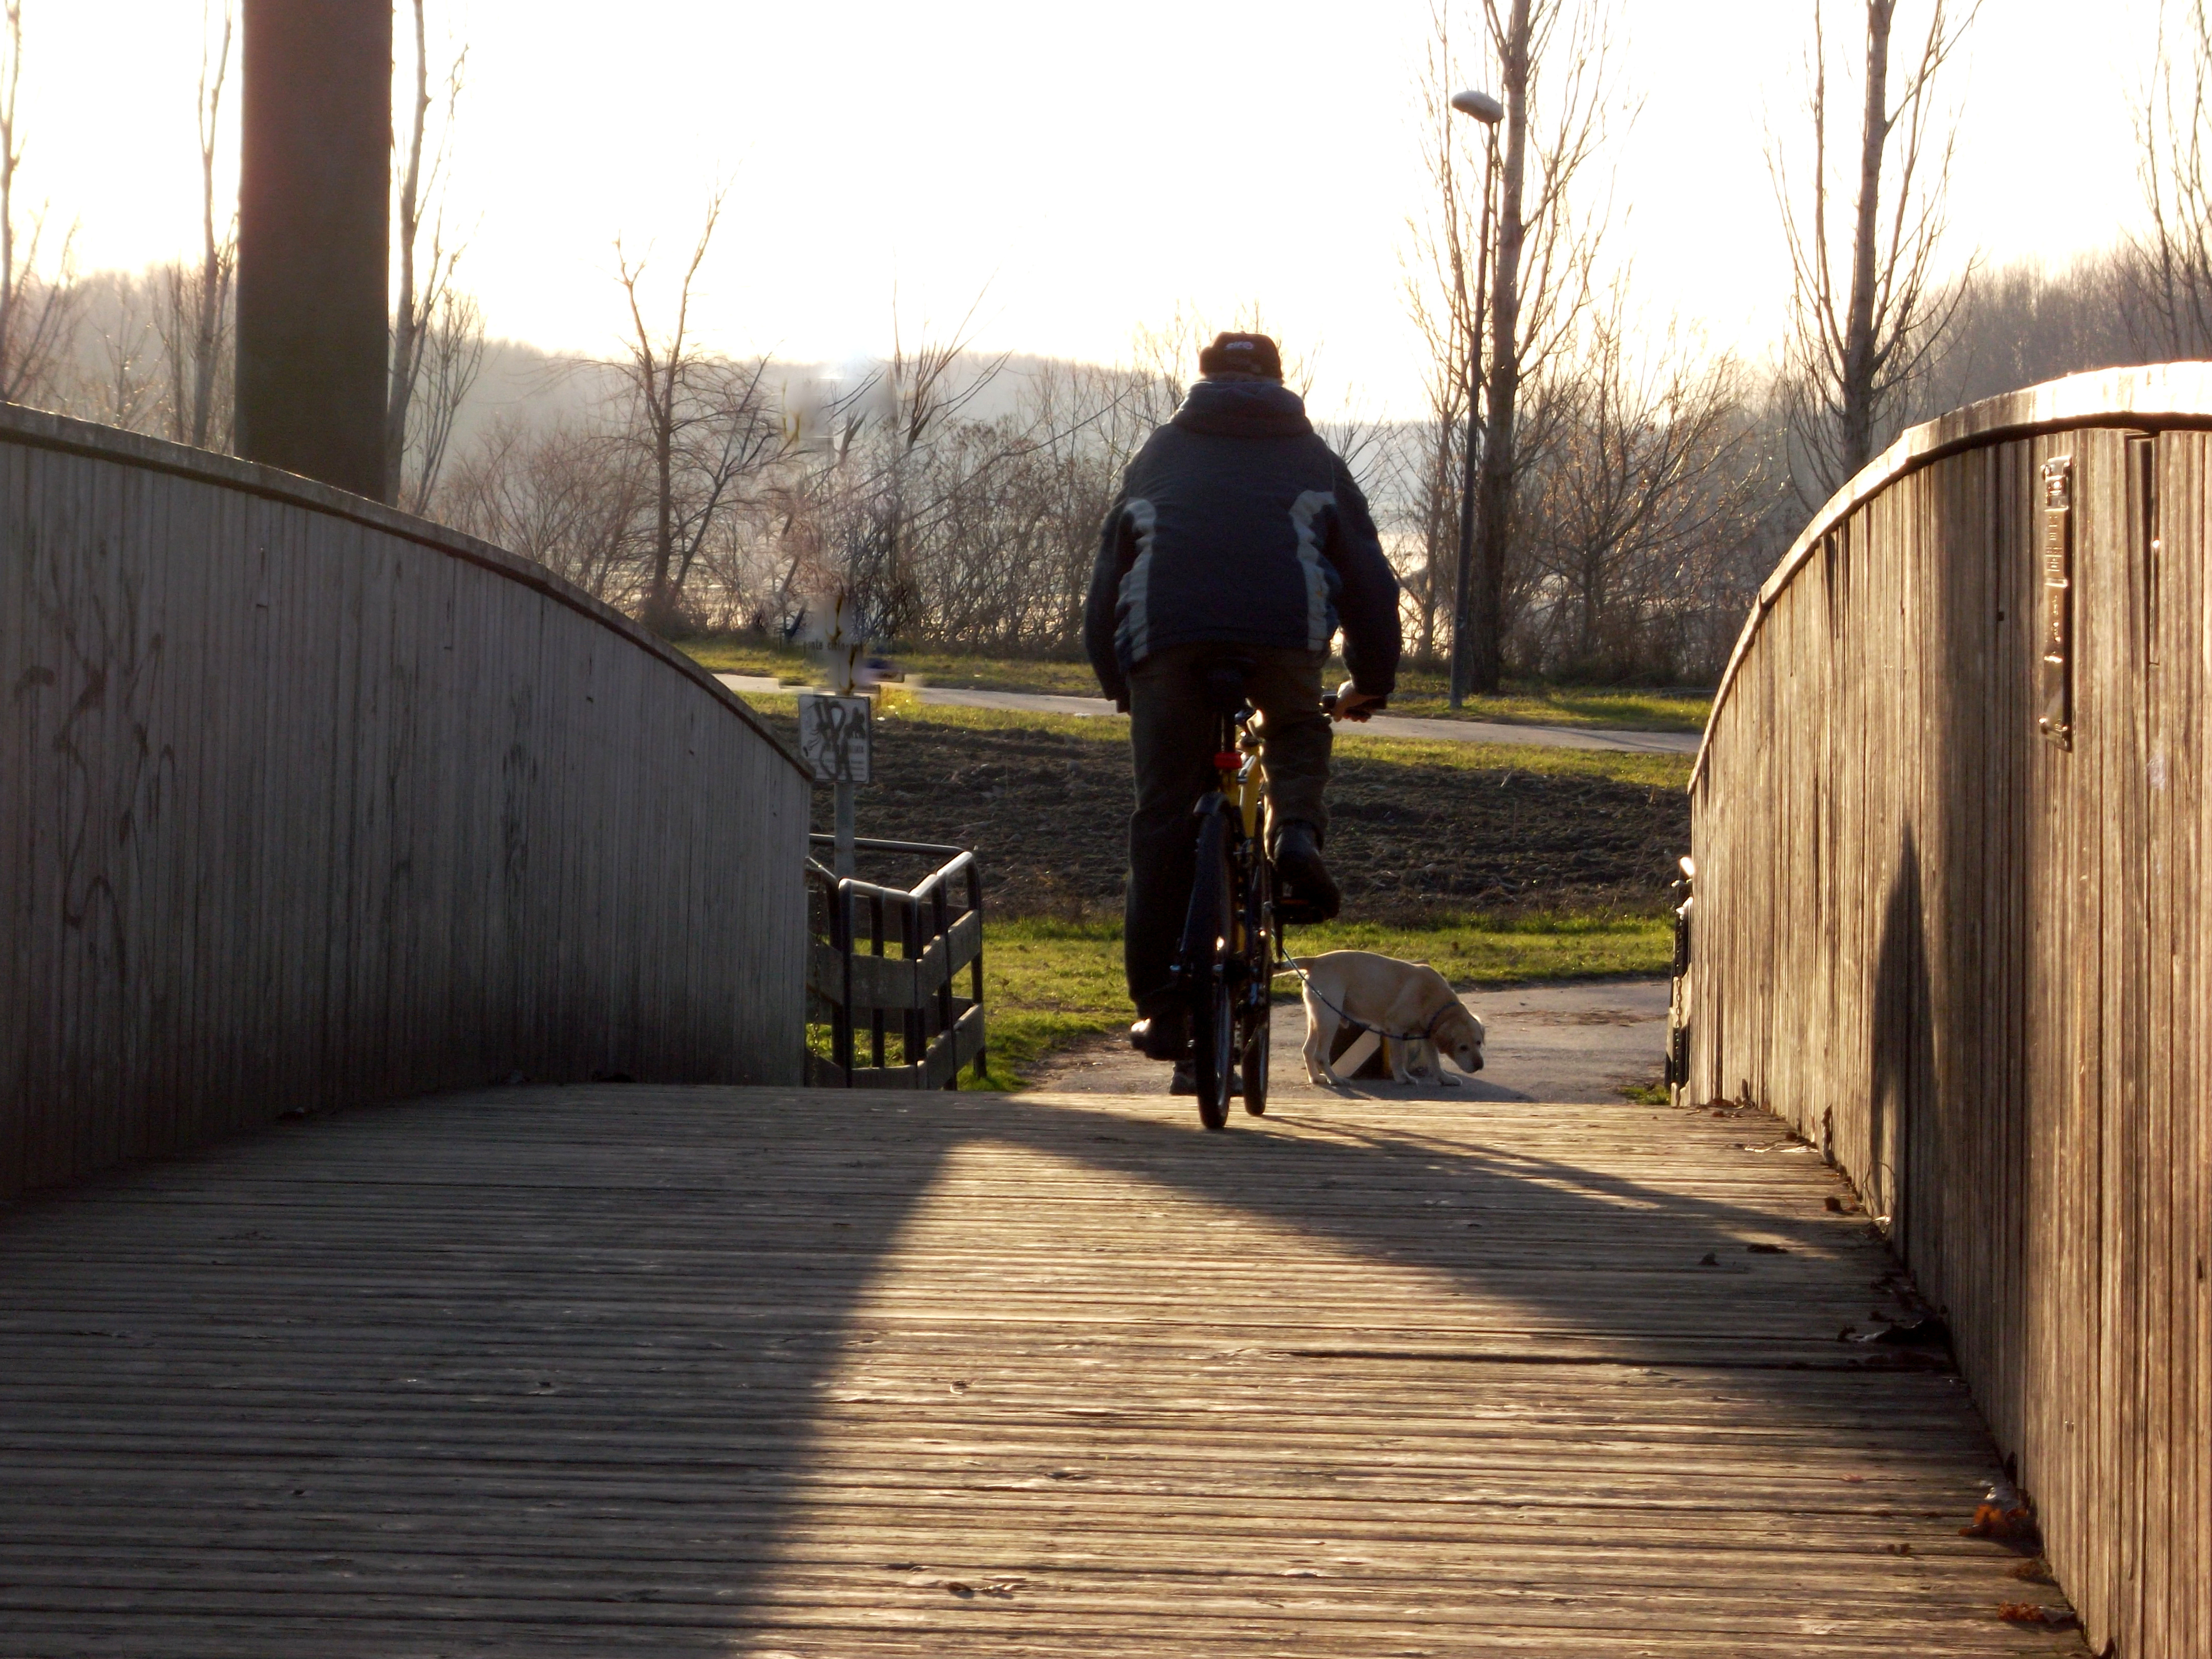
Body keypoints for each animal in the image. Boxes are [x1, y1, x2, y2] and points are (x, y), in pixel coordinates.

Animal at [1291, 946, 1486, 1093]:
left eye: (1478, 1043)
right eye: (1463, 1047)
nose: (1480, 1066)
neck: (1434, 999)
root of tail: (1315, 960)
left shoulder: (1428, 1034)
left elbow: (1434, 1062)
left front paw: (1445, 1079)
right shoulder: (1396, 1030)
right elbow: (1398, 1059)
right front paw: (1402, 1078)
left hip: (1317, 1019)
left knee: (1307, 1050)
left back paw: (1316, 1078)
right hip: (1330, 1019)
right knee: (1320, 1055)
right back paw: (1335, 1079)